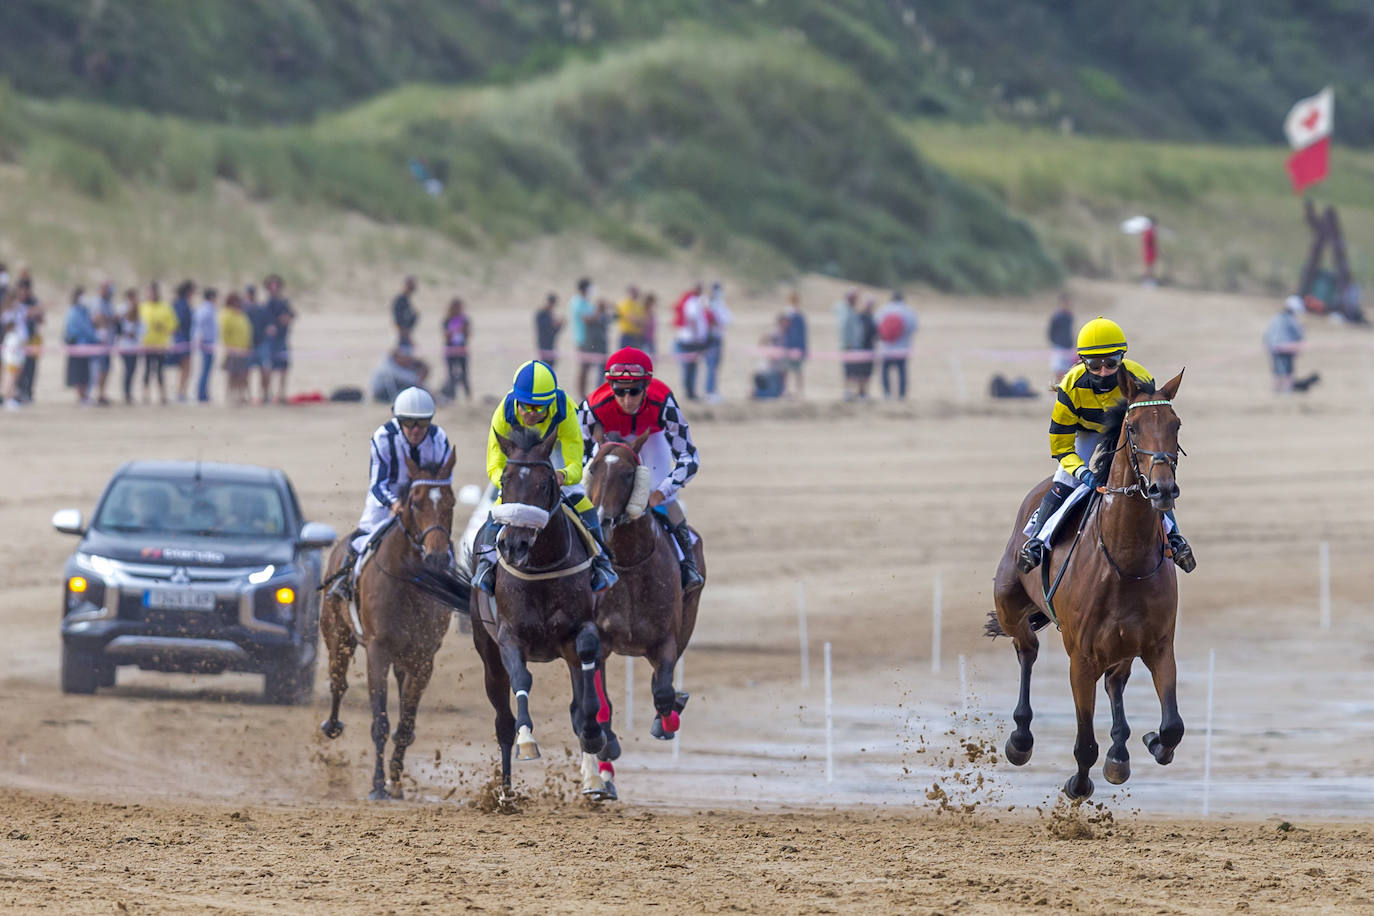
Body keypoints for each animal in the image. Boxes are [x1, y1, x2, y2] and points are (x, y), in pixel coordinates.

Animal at [317, 450, 456, 802]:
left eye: (451, 502)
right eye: (416, 502)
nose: (436, 557)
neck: (407, 583)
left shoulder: (423, 657)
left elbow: (404, 725)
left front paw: (394, 780)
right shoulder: (377, 651)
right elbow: (379, 721)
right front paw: (378, 784)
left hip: (403, 658)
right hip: (337, 636)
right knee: (337, 682)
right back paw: (331, 726)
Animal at [467, 425, 607, 796]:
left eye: (545, 484)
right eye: (505, 480)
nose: (513, 545)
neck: (541, 566)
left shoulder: (580, 630)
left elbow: (586, 685)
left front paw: (593, 735)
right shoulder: (508, 636)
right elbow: (521, 679)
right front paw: (527, 740)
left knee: (577, 702)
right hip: (485, 651)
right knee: (502, 721)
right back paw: (505, 794)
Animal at [582, 428, 708, 796]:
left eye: (628, 474)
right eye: (593, 467)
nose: (602, 520)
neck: (628, 564)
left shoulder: (665, 640)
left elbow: (663, 691)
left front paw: (668, 719)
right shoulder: (600, 642)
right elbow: (602, 704)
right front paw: (607, 746)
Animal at [989, 368, 1192, 796]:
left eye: (1176, 424)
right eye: (1132, 427)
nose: (1162, 489)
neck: (1125, 561)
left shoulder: (1158, 646)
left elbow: (1172, 727)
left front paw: (1147, 743)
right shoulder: (1080, 659)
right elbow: (1084, 742)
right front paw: (1079, 784)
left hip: (1122, 647)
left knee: (1116, 681)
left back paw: (1120, 751)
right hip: (1010, 604)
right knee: (1026, 648)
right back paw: (1020, 739)